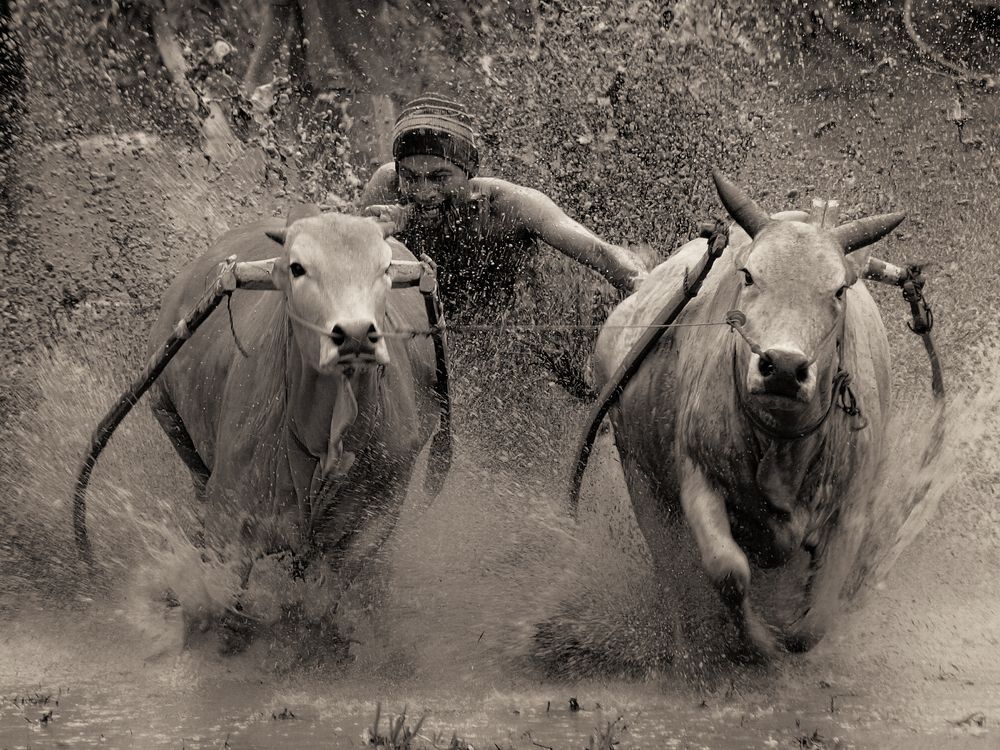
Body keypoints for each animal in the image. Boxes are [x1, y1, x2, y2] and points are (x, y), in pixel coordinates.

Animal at [147, 208, 442, 649]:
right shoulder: (228, 519)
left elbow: (319, 608)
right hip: (170, 419)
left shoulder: (374, 520)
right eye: (298, 267)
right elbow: (220, 603)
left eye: (386, 267)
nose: (355, 334)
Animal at [592, 172, 904, 660]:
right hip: (639, 475)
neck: (783, 442)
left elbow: (813, 622)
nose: (784, 366)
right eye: (749, 274)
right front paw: (756, 644)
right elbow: (728, 572)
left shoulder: (852, 507)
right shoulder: (697, 475)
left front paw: (788, 631)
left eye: (839, 290)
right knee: (669, 569)